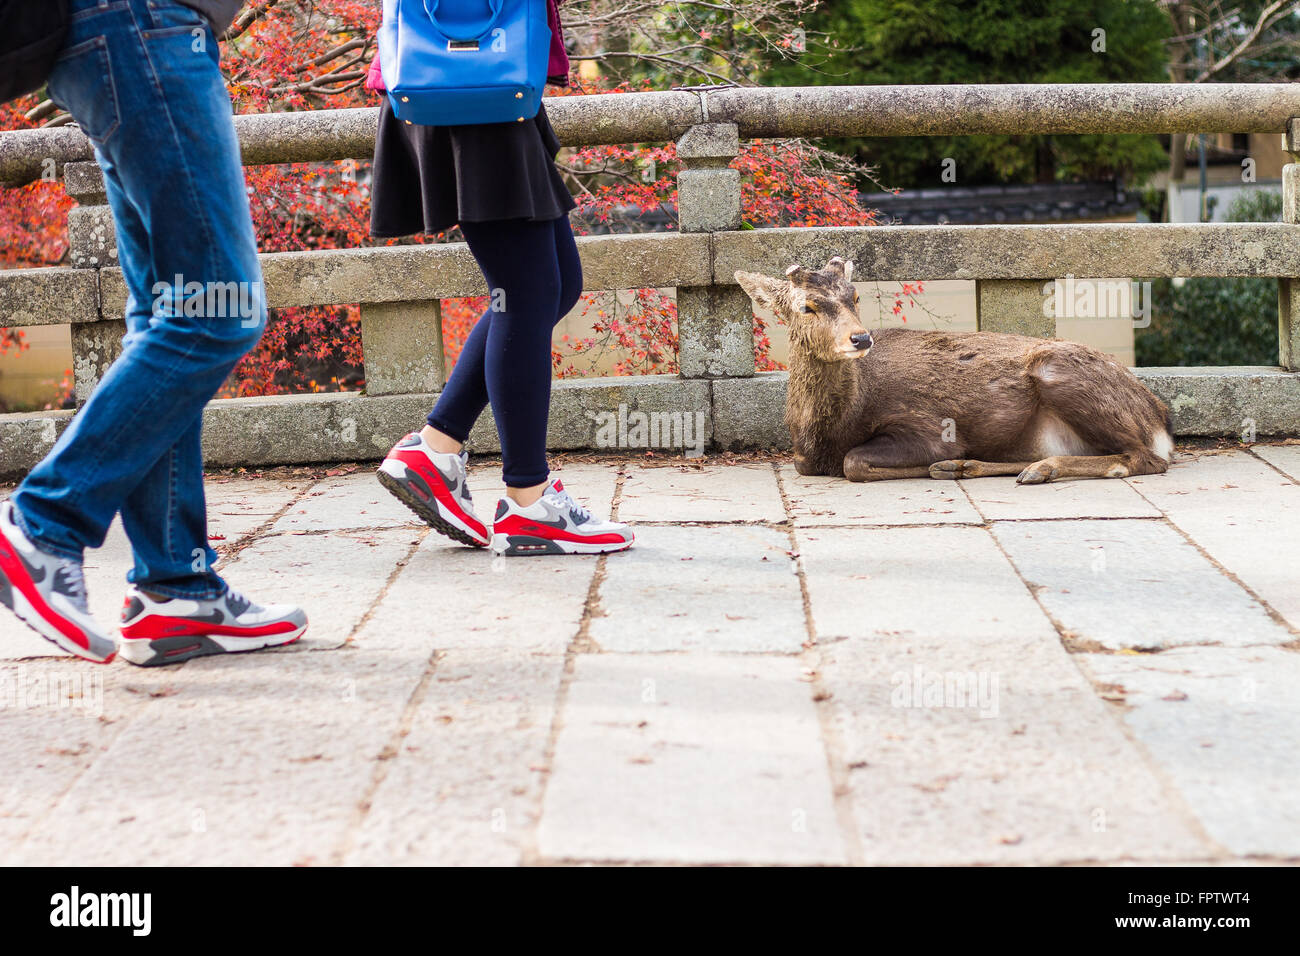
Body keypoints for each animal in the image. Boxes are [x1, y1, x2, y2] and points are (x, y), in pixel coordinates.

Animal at [738, 256, 1175, 486]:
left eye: (855, 296)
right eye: (806, 305)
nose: (860, 338)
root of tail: (1159, 418)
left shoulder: (927, 426)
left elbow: (854, 463)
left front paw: (937, 463)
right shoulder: (802, 458)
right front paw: (953, 464)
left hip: (1060, 372)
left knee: (1146, 458)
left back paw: (1033, 468)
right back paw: (977, 467)